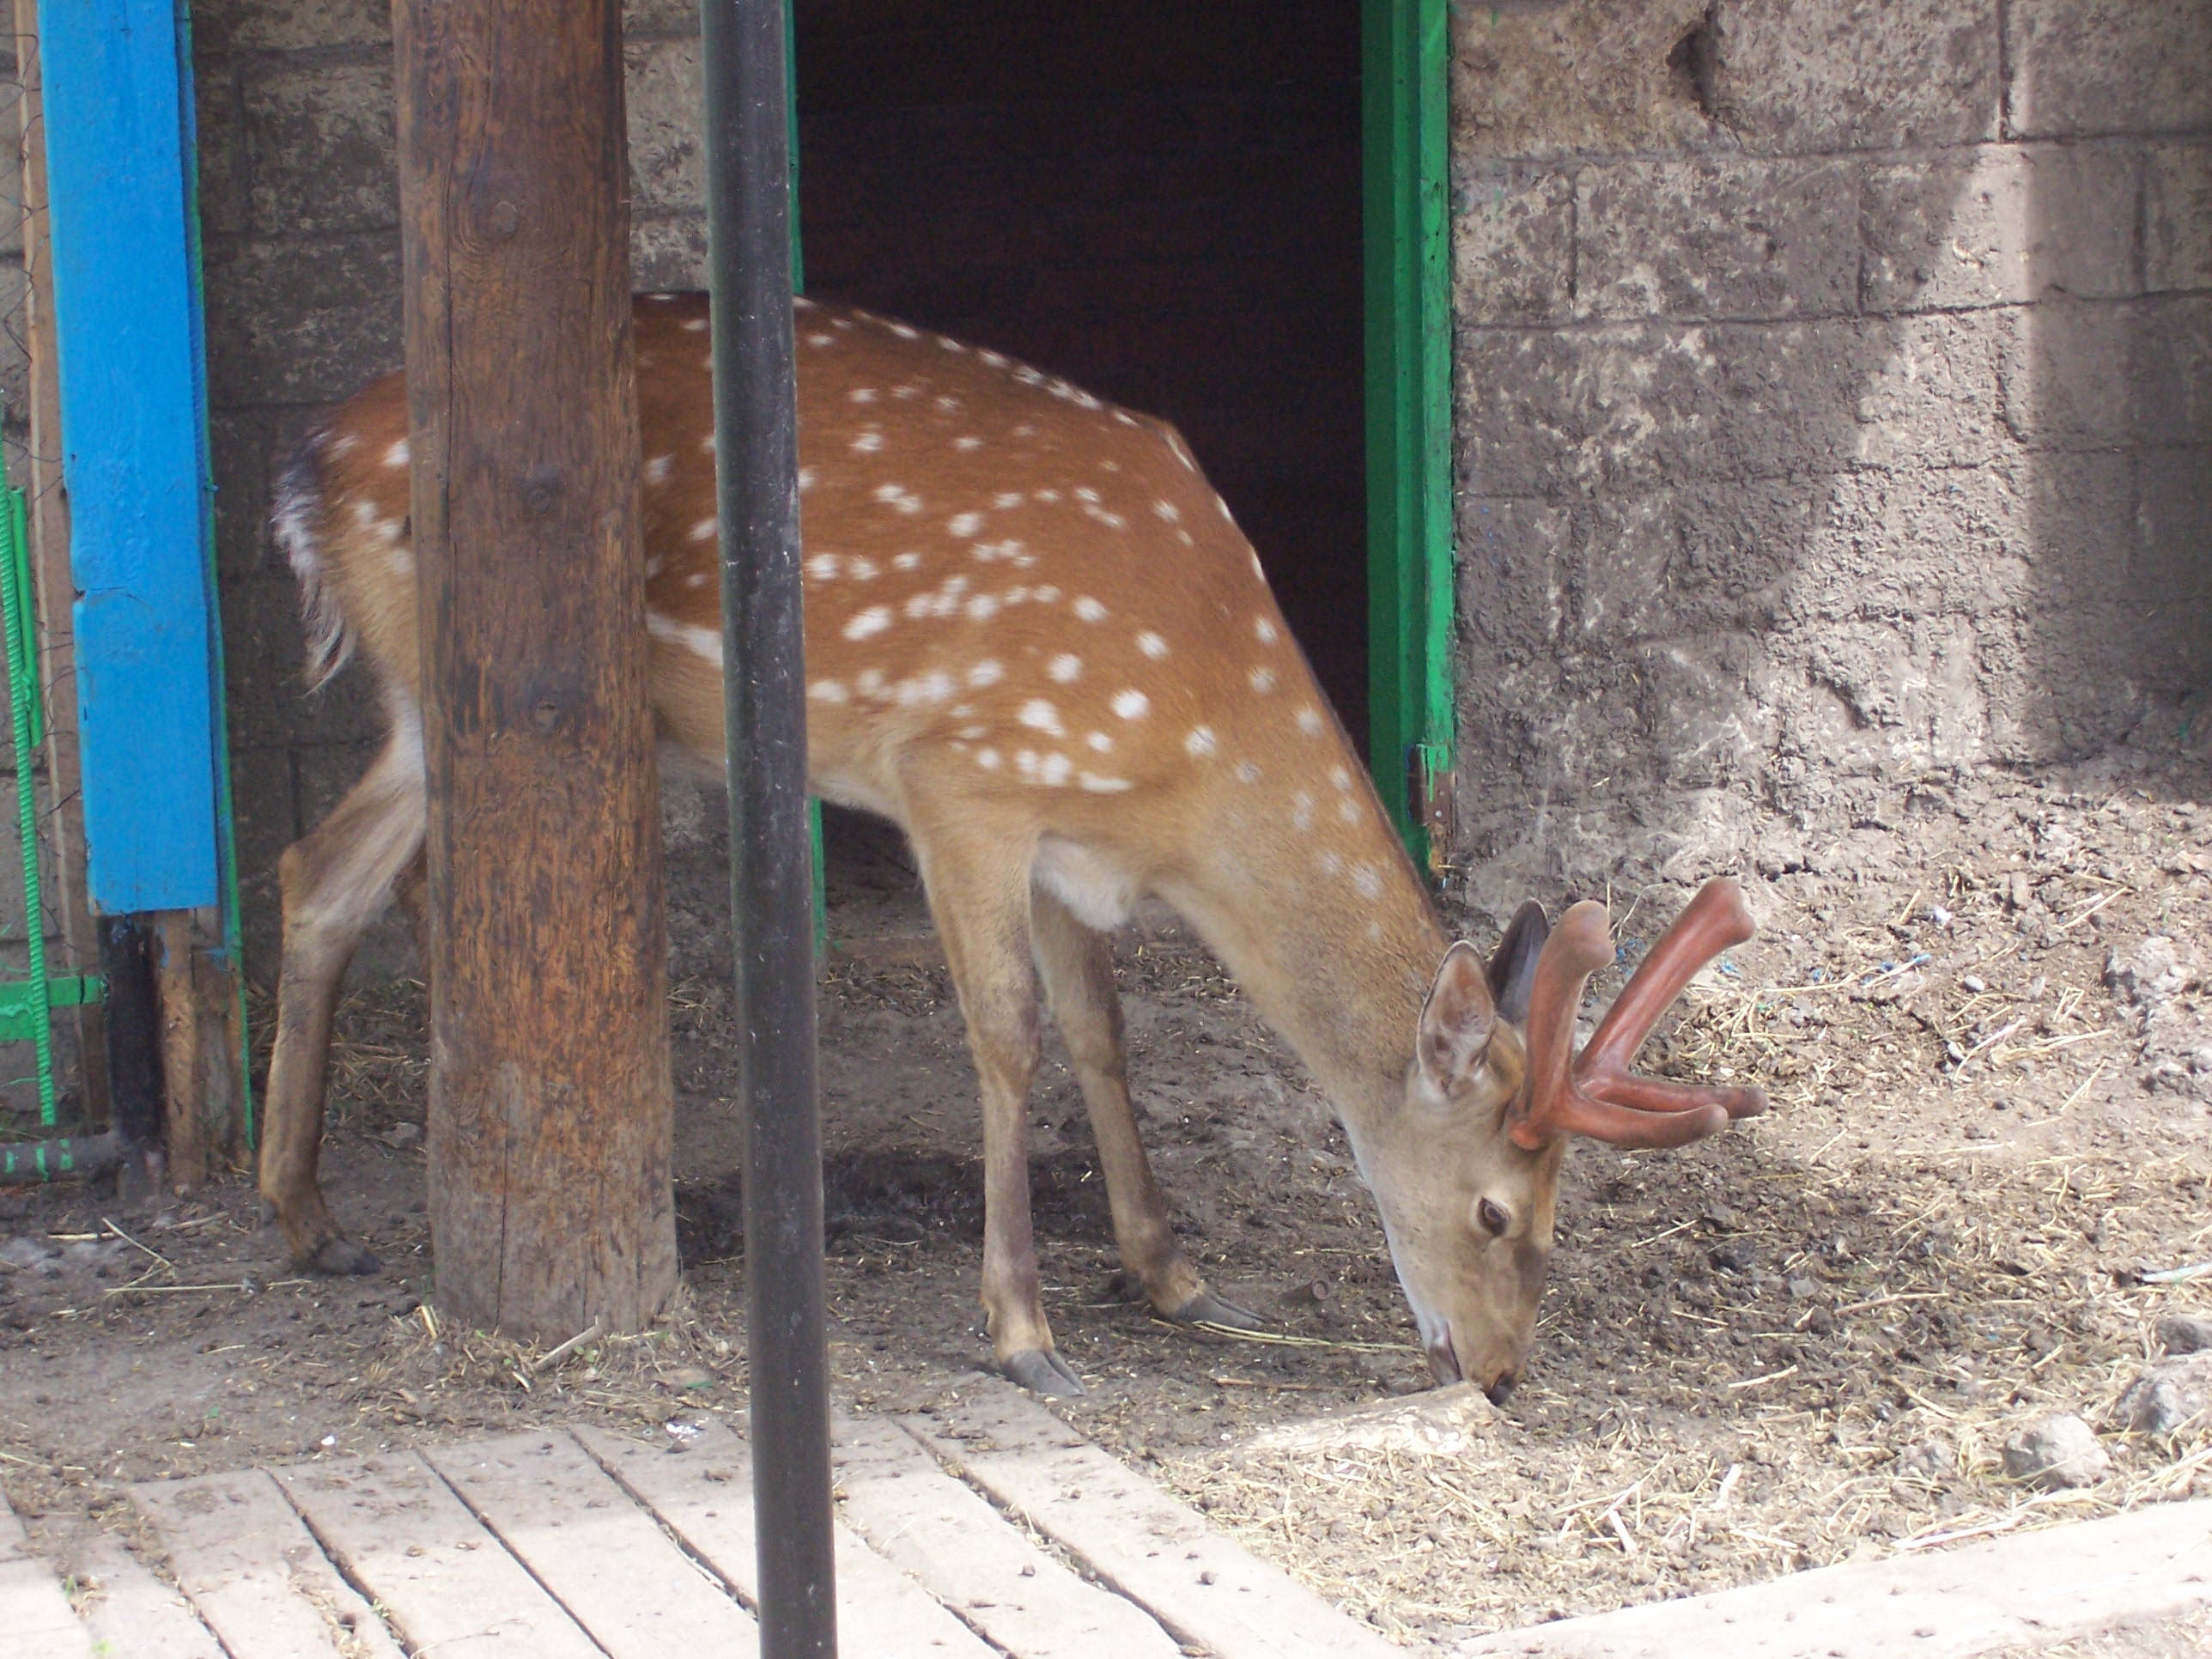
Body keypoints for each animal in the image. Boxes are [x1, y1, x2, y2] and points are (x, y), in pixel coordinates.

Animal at [267, 289, 1769, 1407]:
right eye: (1499, 1213)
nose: (1504, 1374)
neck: (1194, 746)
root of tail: (308, 470)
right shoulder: (962, 777)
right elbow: (1009, 1034)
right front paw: (1022, 1332)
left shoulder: (1072, 838)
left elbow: (1105, 1033)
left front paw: (1172, 1276)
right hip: (471, 676)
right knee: (358, 871)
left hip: (420, 708)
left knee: (317, 874)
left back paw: (308, 1220)